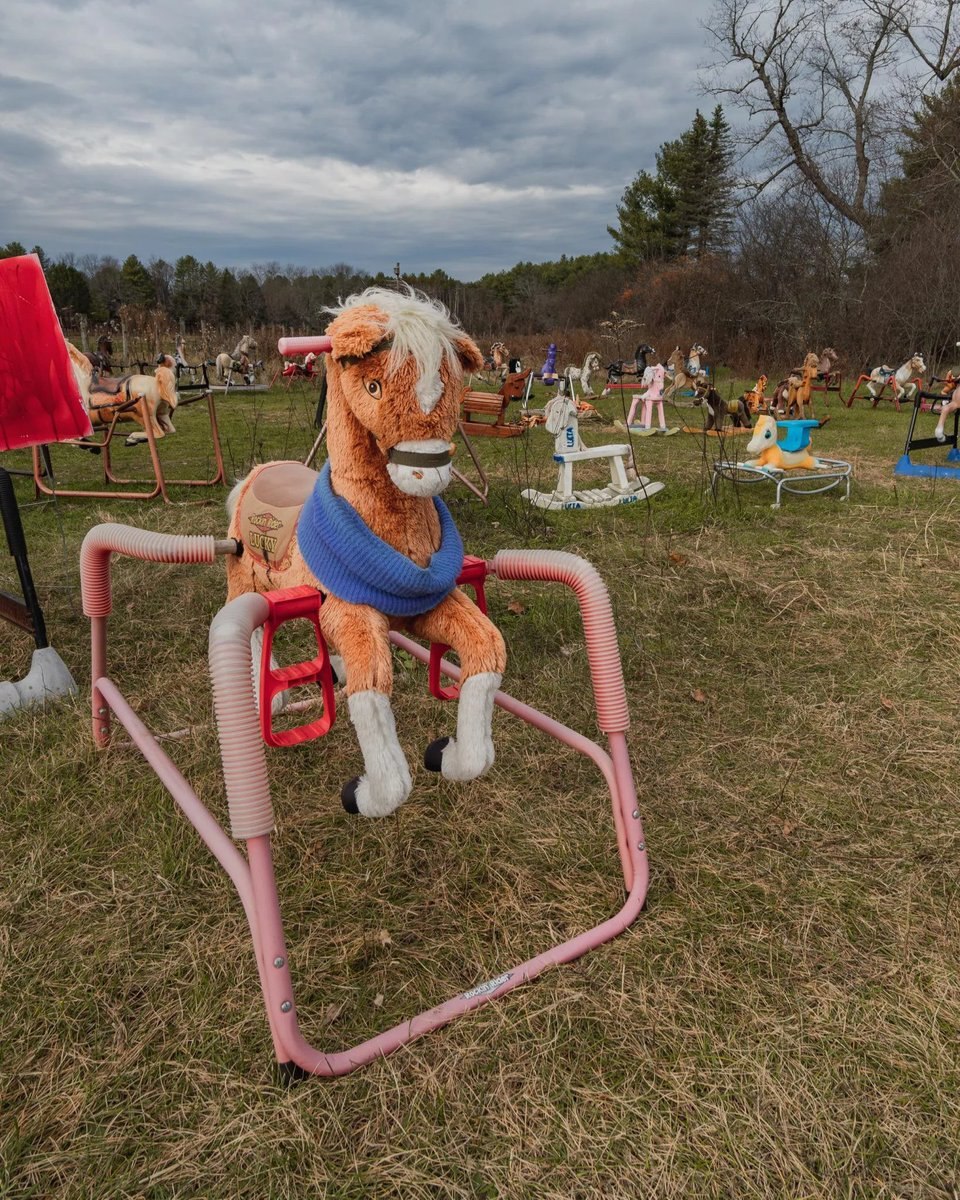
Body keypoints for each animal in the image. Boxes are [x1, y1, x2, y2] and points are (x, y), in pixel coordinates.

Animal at [225, 288, 508, 816]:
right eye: (374, 386)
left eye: (451, 387)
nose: (426, 473)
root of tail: (260, 470)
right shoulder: (347, 613)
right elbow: (371, 690)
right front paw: (366, 795)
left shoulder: (430, 605)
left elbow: (487, 649)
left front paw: (451, 755)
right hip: (245, 578)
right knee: (250, 631)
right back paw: (268, 699)